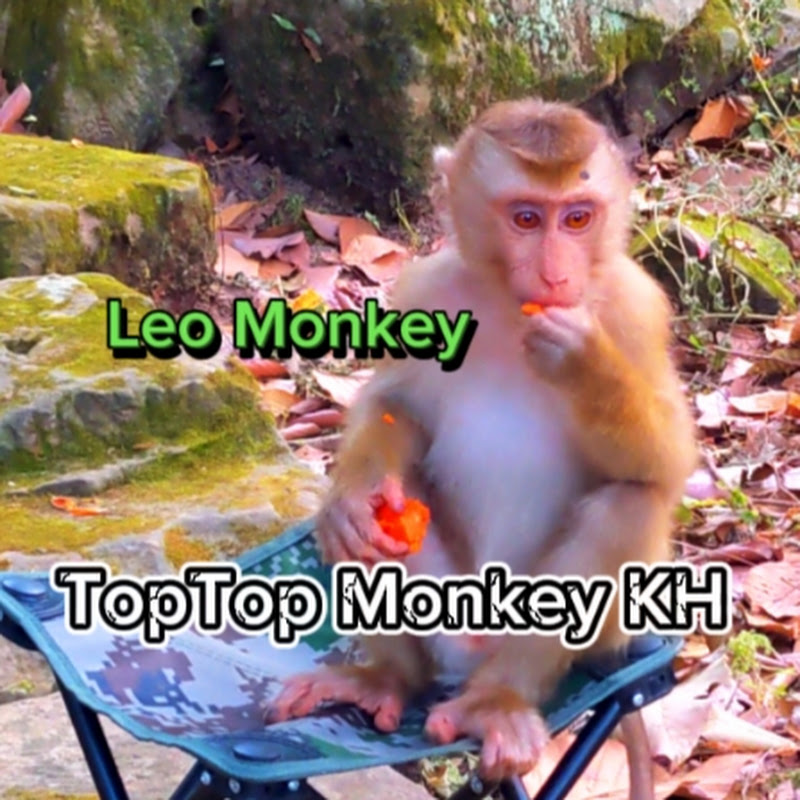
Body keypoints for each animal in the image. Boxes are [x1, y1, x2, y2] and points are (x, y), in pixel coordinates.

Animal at [264, 98, 697, 794]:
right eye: (526, 218)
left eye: (577, 218)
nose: (555, 272)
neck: (506, 309)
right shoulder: (424, 291)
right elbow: (398, 406)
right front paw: (350, 502)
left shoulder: (636, 309)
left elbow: (669, 462)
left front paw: (582, 363)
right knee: (395, 514)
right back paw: (387, 677)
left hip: (588, 636)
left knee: (628, 503)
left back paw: (499, 702)